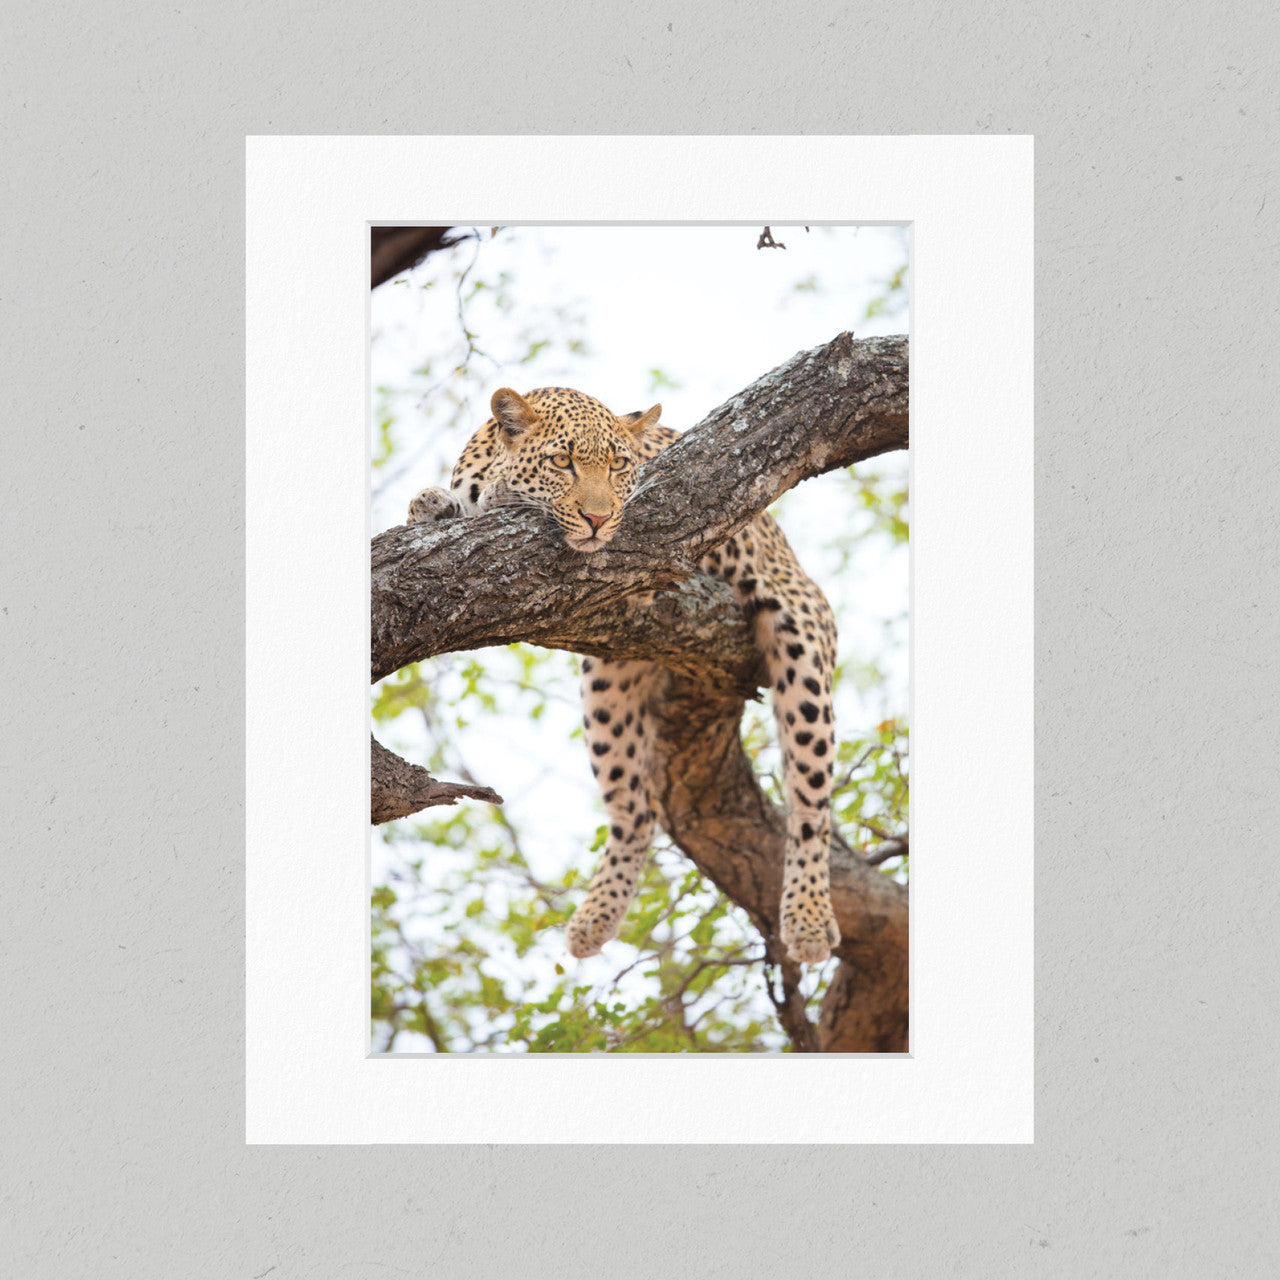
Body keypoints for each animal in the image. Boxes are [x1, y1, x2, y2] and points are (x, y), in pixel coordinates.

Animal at [407, 385, 841, 965]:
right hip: (606, 684)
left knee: (811, 804)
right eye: (562, 463)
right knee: (636, 812)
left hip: (803, 635)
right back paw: (595, 919)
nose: (597, 519)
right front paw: (432, 503)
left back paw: (809, 920)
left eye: (618, 467)